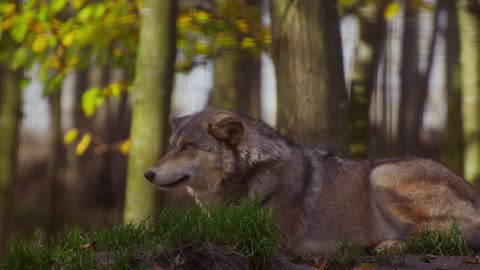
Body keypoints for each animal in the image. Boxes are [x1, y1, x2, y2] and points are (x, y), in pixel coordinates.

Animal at [144, 108, 480, 258]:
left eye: (187, 146)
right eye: (172, 146)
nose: (148, 173)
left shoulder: (266, 239)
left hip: (381, 176)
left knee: (447, 233)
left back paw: (386, 245)